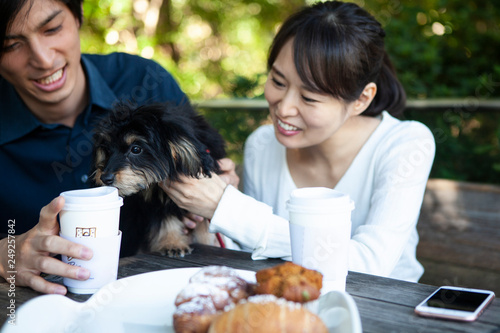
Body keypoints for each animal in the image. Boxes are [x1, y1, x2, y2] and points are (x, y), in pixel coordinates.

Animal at [91, 102, 227, 255]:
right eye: (107, 149)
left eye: (136, 149)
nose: (105, 178)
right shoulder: (154, 203)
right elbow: (164, 220)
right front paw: (171, 243)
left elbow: (203, 226)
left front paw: (204, 242)